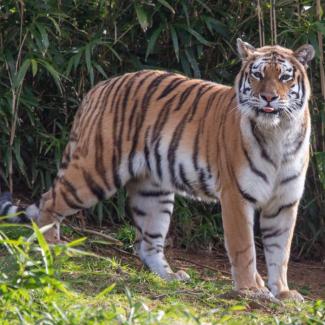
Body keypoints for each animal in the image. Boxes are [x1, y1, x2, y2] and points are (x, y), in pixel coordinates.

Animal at [0, 39, 314, 302]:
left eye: (284, 77)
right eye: (258, 75)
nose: (269, 98)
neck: (279, 134)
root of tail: (97, 87)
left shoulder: (284, 202)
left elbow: (280, 251)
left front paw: (282, 292)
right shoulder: (236, 196)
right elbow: (244, 247)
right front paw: (251, 289)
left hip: (153, 192)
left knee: (146, 243)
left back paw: (170, 277)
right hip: (94, 172)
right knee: (49, 202)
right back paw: (51, 247)